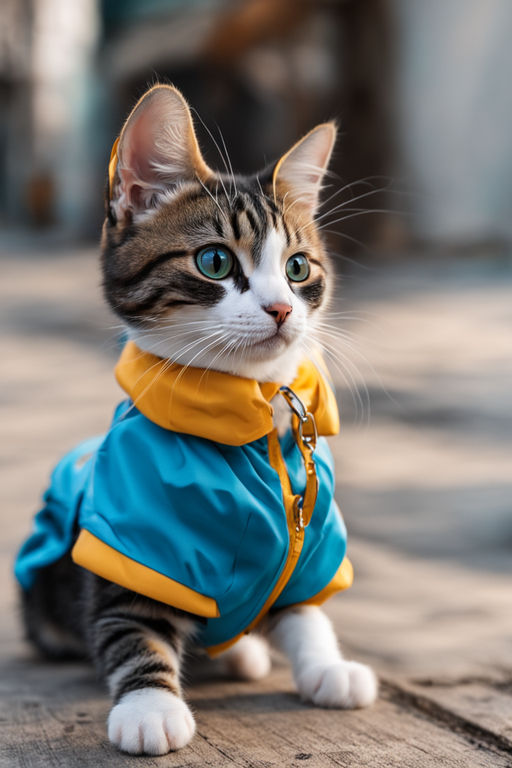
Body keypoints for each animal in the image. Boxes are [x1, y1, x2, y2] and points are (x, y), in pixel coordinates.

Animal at [15, 85, 376, 756]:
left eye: (298, 268)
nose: (282, 309)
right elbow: (132, 624)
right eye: (214, 261)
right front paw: (150, 705)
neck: (254, 419)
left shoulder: (309, 539)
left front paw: (327, 664)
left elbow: (304, 606)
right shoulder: (132, 544)